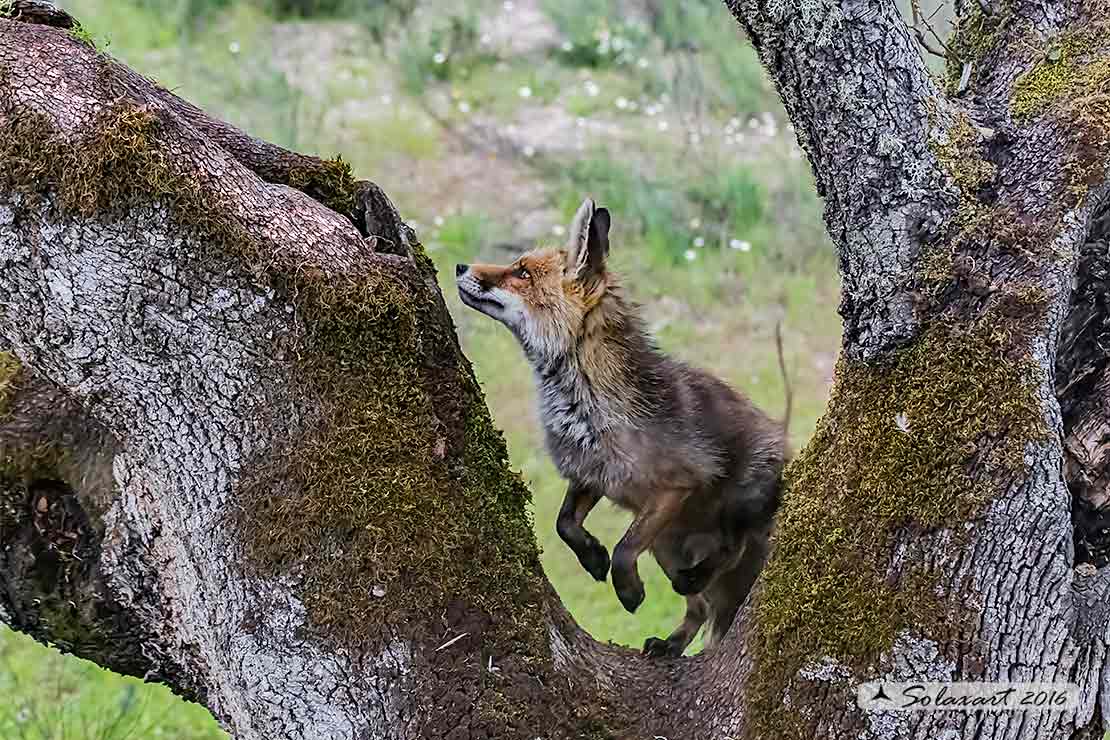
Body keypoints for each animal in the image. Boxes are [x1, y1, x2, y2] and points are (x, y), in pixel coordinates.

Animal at [452, 199, 790, 656]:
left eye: (521, 272)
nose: (459, 265)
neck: (587, 403)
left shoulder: (675, 486)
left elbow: (624, 549)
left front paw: (628, 590)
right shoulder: (592, 474)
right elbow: (564, 524)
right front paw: (592, 557)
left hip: (731, 507)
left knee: (729, 552)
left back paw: (694, 579)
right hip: (667, 547)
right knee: (699, 608)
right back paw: (670, 644)